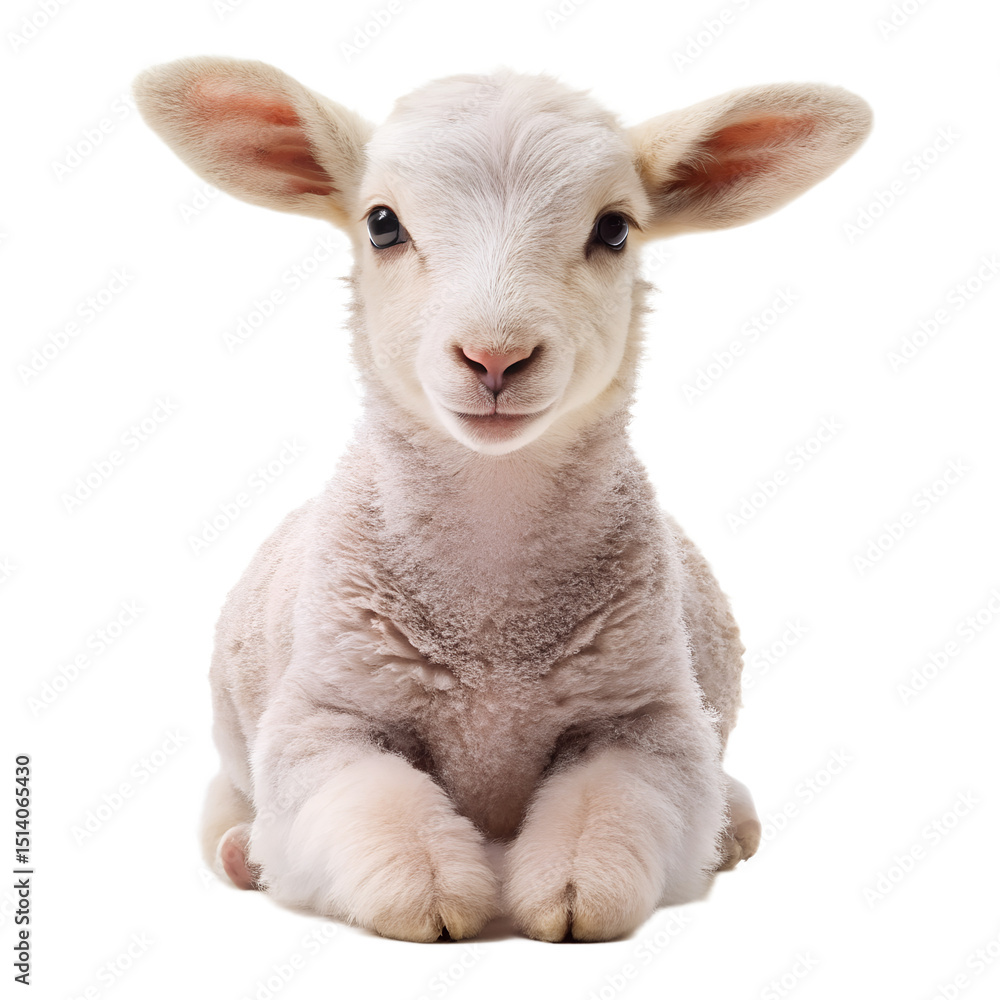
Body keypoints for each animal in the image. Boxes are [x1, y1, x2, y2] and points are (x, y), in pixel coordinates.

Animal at [133, 57, 871, 943]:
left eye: (614, 230)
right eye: (382, 224)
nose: (495, 357)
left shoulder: (647, 718)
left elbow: (608, 812)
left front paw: (575, 893)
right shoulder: (322, 717)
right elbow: (376, 805)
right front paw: (430, 892)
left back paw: (731, 829)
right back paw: (246, 852)